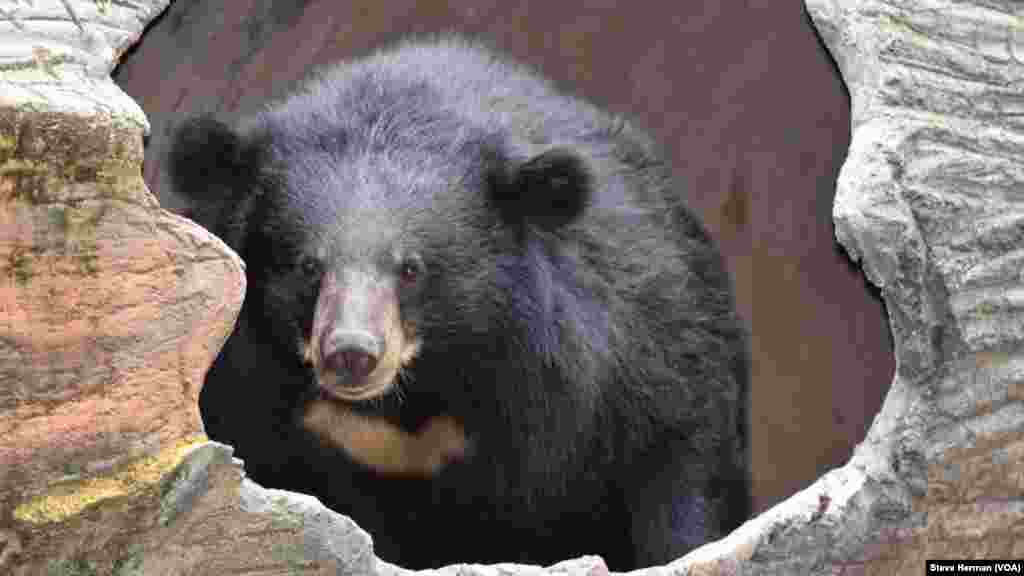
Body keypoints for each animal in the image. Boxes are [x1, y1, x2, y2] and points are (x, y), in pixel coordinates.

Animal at [168, 35, 749, 571]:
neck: (419, 394)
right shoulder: (260, 396)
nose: (351, 355)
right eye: (308, 265)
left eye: (411, 268)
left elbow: (676, 474)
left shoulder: (636, 358)